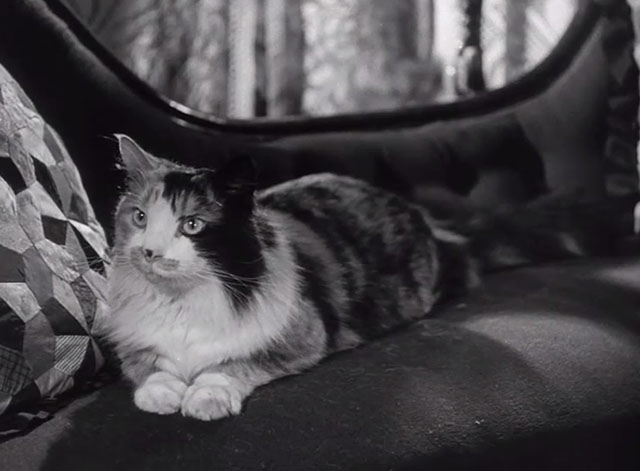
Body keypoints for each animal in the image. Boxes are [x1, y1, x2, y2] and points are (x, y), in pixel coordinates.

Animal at [102, 135, 636, 422]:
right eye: (140, 218)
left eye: (192, 226)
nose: (149, 252)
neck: (182, 303)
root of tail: (429, 221)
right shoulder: (131, 341)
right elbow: (148, 364)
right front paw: (160, 393)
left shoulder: (302, 337)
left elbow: (232, 364)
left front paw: (205, 396)